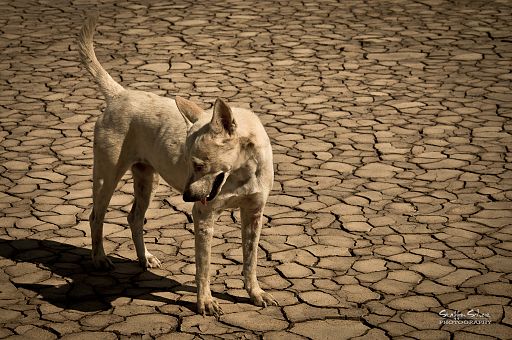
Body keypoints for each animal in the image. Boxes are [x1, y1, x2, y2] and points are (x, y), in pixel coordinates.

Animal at [77, 15, 276, 314]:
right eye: (188, 161)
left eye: (200, 165)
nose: (185, 197)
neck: (242, 171)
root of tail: (119, 94)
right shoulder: (203, 215)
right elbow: (204, 267)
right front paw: (205, 301)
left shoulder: (254, 212)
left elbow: (250, 261)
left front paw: (255, 293)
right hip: (106, 176)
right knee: (95, 216)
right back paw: (99, 258)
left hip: (147, 180)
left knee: (134, 217)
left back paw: (145, 258)